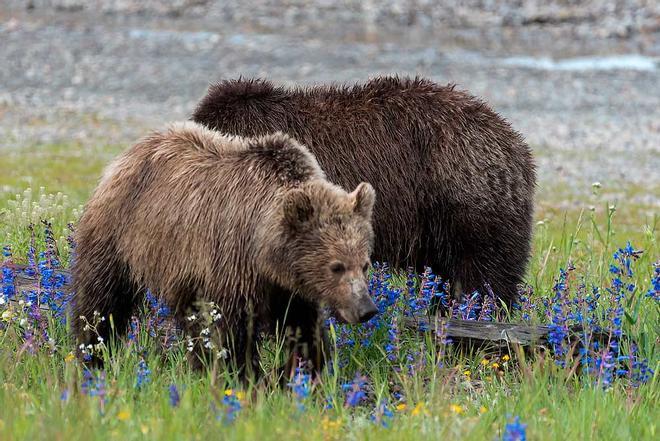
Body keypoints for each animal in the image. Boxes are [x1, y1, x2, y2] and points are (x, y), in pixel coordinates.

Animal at [71, 121, 376, 378]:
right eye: (336, 266)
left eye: (365, 264)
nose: (366, 309)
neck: (266, 251)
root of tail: (126, 156)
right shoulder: (232, 264)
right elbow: (231, 332)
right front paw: (246, 376)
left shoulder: (286, 287)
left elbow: (302, 327)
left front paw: (296, 370)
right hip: (119, 235)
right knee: (101, 299)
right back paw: (90, 355)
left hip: (181, 268)